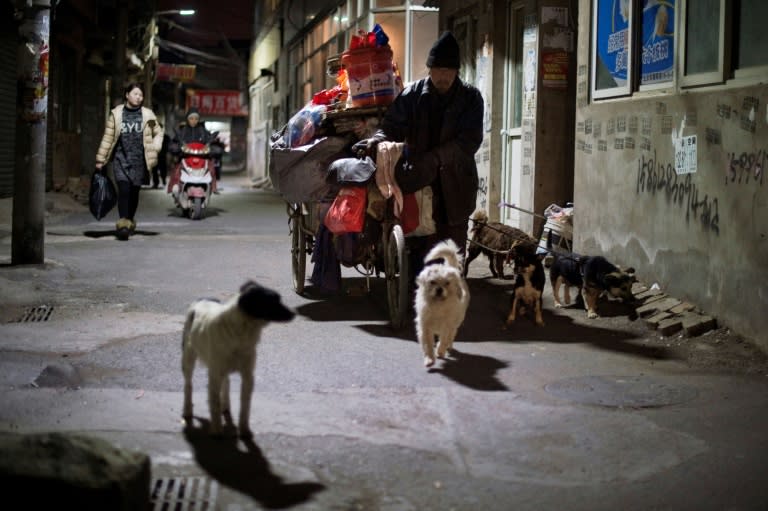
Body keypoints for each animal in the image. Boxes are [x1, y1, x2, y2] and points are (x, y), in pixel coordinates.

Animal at [182, 282, 296, 438]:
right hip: (188, 359)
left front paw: (244, 429)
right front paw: (216, 430)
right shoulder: (214, 375)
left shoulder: (248, 376)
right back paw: (187, 410)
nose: (294, 313)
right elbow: (214, 404)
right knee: (188, 385)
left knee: (226, 382)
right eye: (273, 302)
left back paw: (226, 406)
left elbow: (245, 406)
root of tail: (203, 298)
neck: (241, 332)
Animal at [416, 240, 472, 368]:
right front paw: (429, 360)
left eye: (447, 283)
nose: (439, 289)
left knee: (451, 336)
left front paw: (440, 352)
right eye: (432, 282)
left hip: (456, 323)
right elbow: (427, 345)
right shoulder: (425, 328)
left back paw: (448, 348)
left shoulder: (447, 326)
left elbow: (444, 340)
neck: (438, 305)